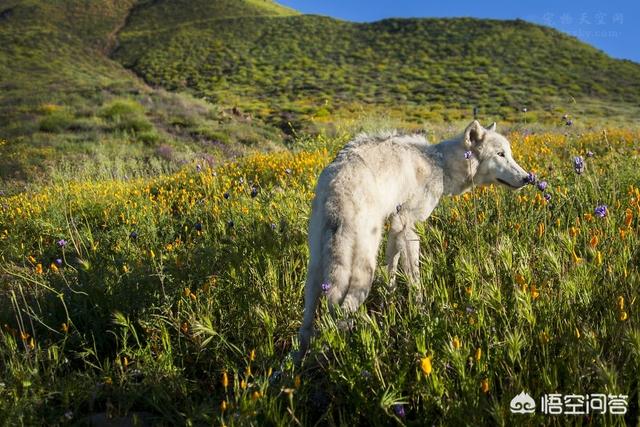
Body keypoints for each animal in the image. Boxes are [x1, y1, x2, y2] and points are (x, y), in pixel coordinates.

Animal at [298, 120, 528, 358]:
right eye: (500, 154)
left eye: (509, 154)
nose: (528, 178)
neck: (440, 165)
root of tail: (336, 187)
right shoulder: (408, 228)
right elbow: (415, 279)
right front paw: (422, 314)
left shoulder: (395, 227)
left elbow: (392, 267)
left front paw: (389, 303)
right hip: (362, 272)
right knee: (342, 313)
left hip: (315, 272)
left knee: (306, 325)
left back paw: (299, 358)